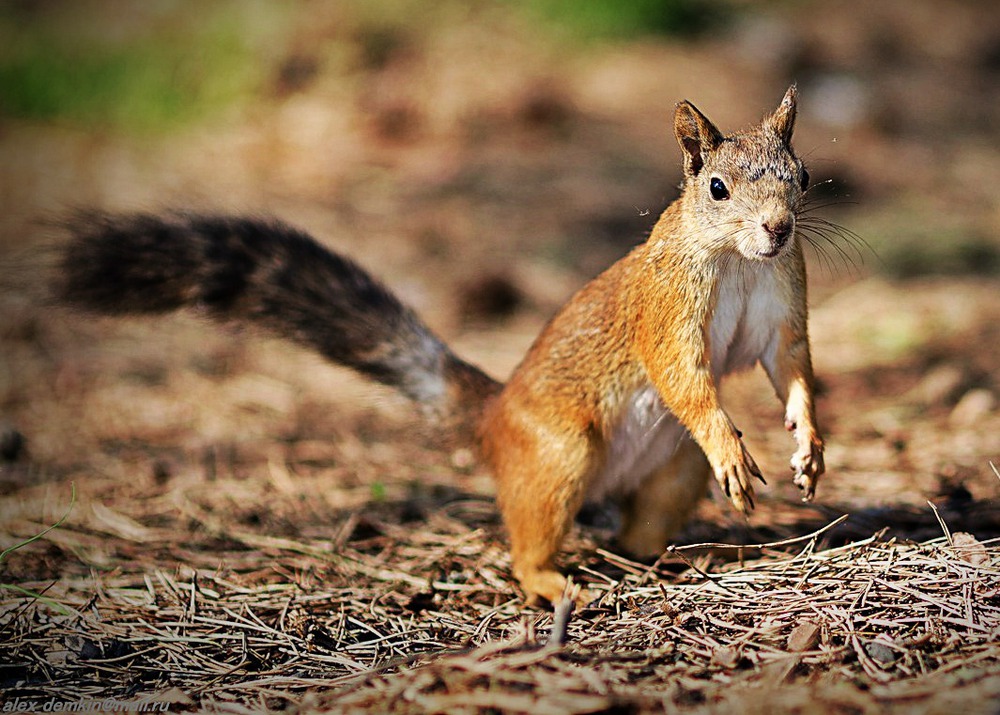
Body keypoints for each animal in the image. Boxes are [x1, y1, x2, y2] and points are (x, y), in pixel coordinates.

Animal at [52, 86, 820, 608]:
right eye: (716, 187)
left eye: (802, 176)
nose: (778, 228)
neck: (739, 261)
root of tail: (494, 419)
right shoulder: (664, 307)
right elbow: (682, 373)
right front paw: (730, 440)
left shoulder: (783, 302)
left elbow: (791, 366)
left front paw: (809, 445)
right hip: (560, 455)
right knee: (529, 541)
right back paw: (555, 579)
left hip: (672, 472)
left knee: (640, 528)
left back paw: (681, 556)